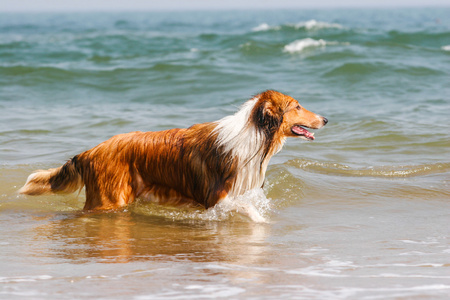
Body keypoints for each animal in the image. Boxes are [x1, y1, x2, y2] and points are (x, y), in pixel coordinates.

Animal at [19, 89, 326, 220]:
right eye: (297, 106)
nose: (325, 119)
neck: (255, 135)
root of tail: (90, 151)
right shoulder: (217, 198)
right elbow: (248, 209)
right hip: (109, 200)